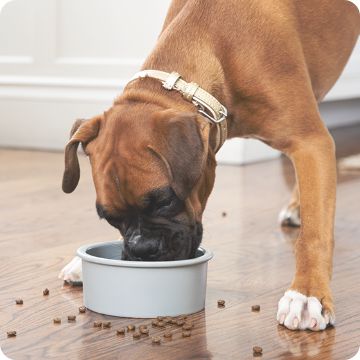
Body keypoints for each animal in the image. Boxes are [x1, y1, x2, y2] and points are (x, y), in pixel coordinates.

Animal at [57, 0, 358, 332]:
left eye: (166, 201)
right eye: (109, 217)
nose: (142, 249)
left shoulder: (309, 142)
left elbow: (315, 233)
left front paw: (307, 294)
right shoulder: (311, 145)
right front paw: (82, 265)